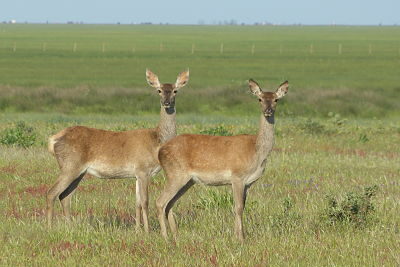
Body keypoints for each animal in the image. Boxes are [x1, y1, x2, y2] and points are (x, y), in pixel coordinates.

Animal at [46, 69, 190, 232]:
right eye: (159, 90)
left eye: (175, 90)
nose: (166, 102)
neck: (156, 142)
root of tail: (54, 139)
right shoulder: (143, 170)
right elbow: (145, 202)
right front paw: (147, 231)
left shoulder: (136, 174)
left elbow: (137, 203)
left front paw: (137, 230)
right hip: (70, 166)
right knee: (52, 193)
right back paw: (49, 228)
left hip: (78, 171)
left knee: (65, 196)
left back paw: (71, 227)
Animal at [155, 78, 290, 242]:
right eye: (260, 99)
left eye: (276, 99)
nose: (268, 111)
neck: (256, 151)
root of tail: (160, 151)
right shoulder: (237, 176)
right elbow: (238, 207)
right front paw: (240, 238)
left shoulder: (248, 183)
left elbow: (242, 206)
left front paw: (239, 235)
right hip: (176, 174)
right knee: (160, 202)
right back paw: (165, 237)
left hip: (187, 181)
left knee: (169, 204)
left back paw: (176, 236)